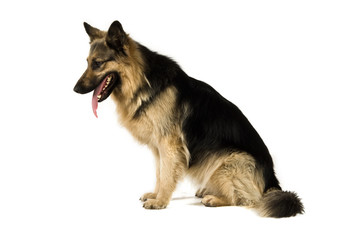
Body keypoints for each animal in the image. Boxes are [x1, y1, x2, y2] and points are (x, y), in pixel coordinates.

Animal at [74, 21, 304, 218]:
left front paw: (161, 201)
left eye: (98, 63)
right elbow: (160, 173)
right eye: (87, 63)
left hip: (226, 162)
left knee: (246, 199)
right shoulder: (158, 148)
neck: (143, 81)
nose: (75, 89)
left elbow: (167, 175)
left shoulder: (169, 146)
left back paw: (214, 199)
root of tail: (272, 180)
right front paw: (156, 194)